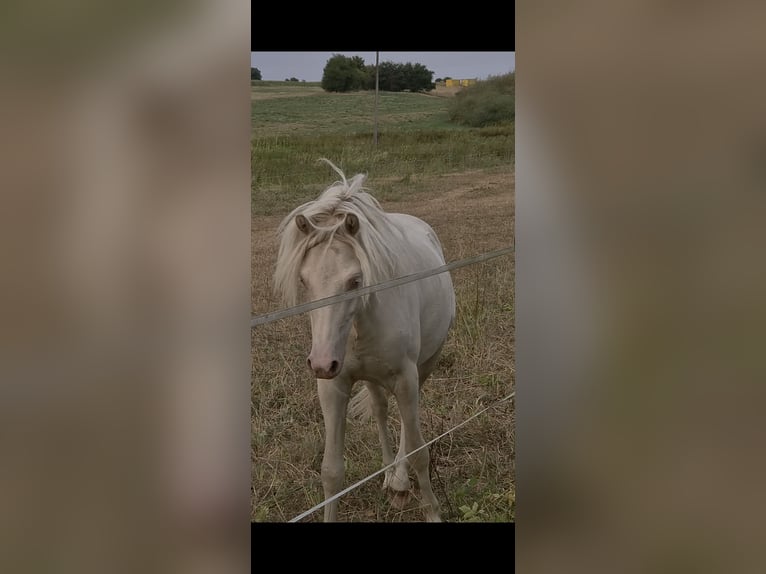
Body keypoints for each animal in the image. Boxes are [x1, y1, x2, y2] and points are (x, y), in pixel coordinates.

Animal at [273, 159, 456, 522]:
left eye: (355, 280)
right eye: (304, 281)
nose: (321, 362)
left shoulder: (406, 378)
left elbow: (419, 452)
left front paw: (432, 512)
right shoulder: (333, 386)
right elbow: (331, 471)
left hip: (424, 368)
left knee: (405, 425)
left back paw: (399, 482)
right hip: (372, 378)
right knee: (381, 410)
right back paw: (389, 476)